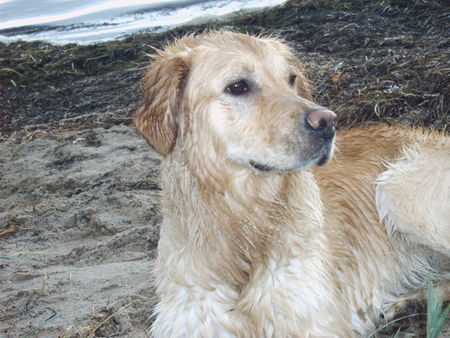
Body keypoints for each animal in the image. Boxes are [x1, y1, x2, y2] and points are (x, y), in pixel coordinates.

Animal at [135, 31, 448, 336]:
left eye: (291, 79)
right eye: (237, 86)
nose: (328, 122)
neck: (245, 221)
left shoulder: (313, 319)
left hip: (397, 190)